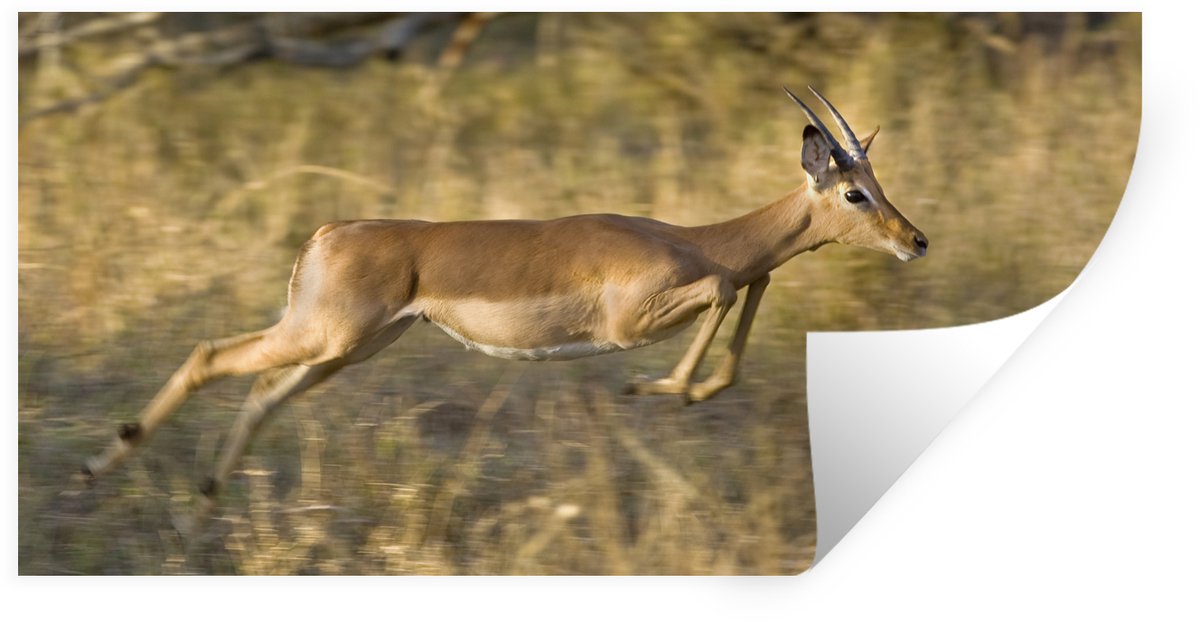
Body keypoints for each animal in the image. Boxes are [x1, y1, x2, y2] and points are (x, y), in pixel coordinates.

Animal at [82, 86, 927, 511]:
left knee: (260, 390)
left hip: (348, 348)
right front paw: (655, 389)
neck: (692, 237)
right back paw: (100, 466)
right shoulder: (634, 320)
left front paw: (686, 392)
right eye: (853, 192)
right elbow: (729, 284)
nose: (916, 240)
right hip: (324, 336)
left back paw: (208, 487)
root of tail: (327, 231)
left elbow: (756, 281)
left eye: (877, 182)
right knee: (208, 354)